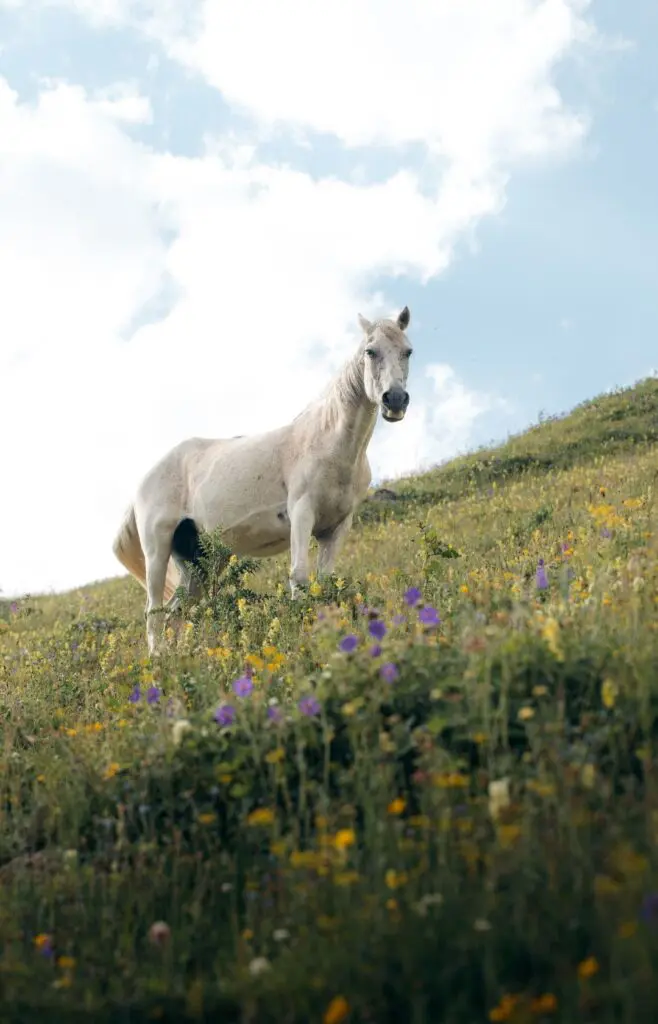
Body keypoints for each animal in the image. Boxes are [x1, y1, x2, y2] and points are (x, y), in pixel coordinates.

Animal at [112, 306, 413, 653]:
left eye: (407, 351)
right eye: (370, 351)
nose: (395, 400)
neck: (329, 443)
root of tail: (142, 483)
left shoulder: (337, 527)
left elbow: (325, 582)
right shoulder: (302, 514)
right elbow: (299, 576)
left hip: (198, 558)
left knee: (178, 609)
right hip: (157, 550)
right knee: (154, 612)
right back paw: (159, 659)